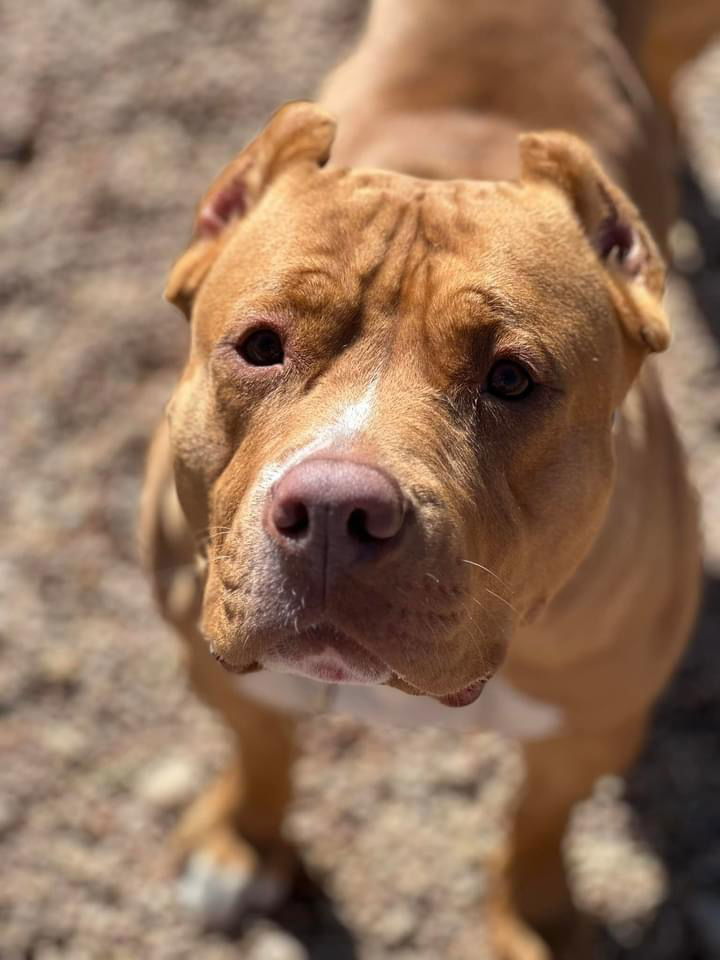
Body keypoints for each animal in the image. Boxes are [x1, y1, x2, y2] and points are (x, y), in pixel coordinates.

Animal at [141, 3, 704, 956]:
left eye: (511, 378)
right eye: (260, 345)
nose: (335, 511)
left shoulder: (593, 725)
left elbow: (539, 822)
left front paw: (537, 918)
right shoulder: (211, 650)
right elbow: (261, 747)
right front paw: (245, 842)